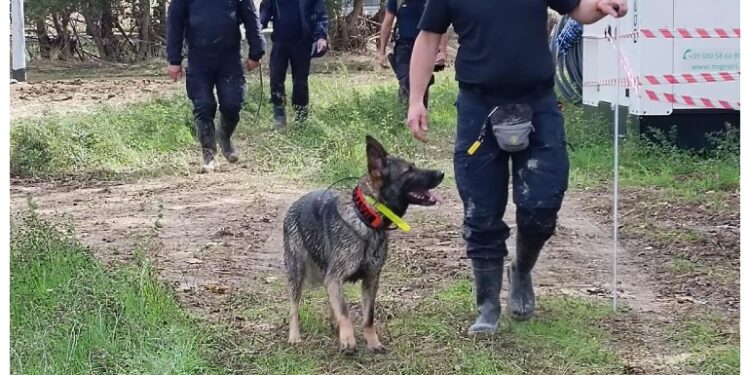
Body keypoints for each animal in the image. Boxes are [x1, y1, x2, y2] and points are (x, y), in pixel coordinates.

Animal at [284, 137, 444, 354]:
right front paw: (348, 340)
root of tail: (295, 204)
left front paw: (373, 342)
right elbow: (344, 311)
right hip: (297, 272)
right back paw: (294, 336)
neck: (366, 216)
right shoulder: (336, 278)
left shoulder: (370, 280)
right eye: (409, 170)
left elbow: (368, 317)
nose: (442, 173)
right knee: (294, 307)